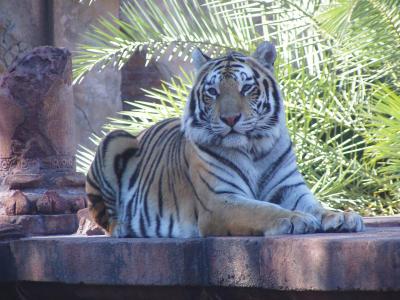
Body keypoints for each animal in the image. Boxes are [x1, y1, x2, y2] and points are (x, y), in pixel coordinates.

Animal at [86, 41, 364, 238]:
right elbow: (261, 209)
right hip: (115, 138)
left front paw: (342, 217)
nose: (230, 119)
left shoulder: (291, 189)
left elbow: (316, 206)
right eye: (212, 92)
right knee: (104, 219)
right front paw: (296, 219)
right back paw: (124, 227)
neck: (255, 148)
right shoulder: (220, 200)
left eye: (246, 88)